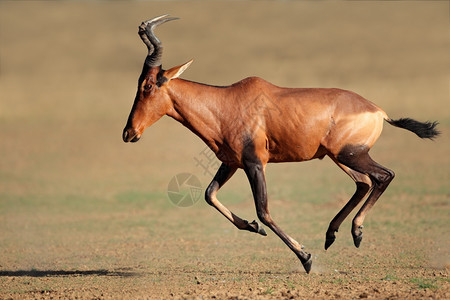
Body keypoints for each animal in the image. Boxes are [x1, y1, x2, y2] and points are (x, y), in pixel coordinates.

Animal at [122, 15, 440, 274]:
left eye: (147, 85)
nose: (128, 133)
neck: (227, 101)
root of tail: (378, 110)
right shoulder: (232, 162)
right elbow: (209, 195)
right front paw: (253, 228)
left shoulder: (255, 164)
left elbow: (263, 209)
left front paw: (306, 258)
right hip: (339, 157)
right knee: (363, 183)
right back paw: (331, 235)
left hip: (351, 155)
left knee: (383, 176)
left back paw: (355, 232)